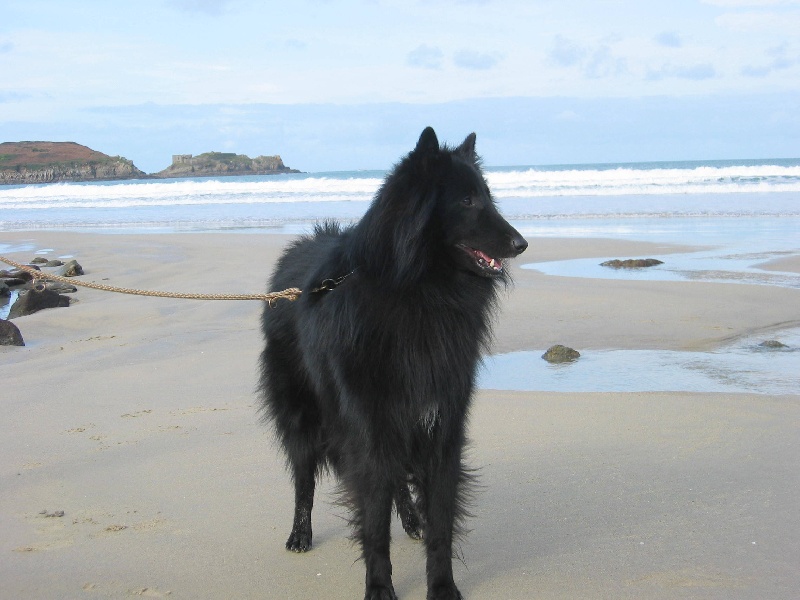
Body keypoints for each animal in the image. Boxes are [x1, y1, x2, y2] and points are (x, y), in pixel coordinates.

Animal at [260, 127, 528, 600]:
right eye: (467, 201)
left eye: (487, 196)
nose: (522, 244)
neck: (420, 295)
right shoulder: (369, 428)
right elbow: (373, 524)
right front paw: (379, 588)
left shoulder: (440, 426)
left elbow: (440, 523)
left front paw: (442, 587)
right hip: (303, 415)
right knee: (304, 479)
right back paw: (300, 534)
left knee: (396, 480)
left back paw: (410, 519)